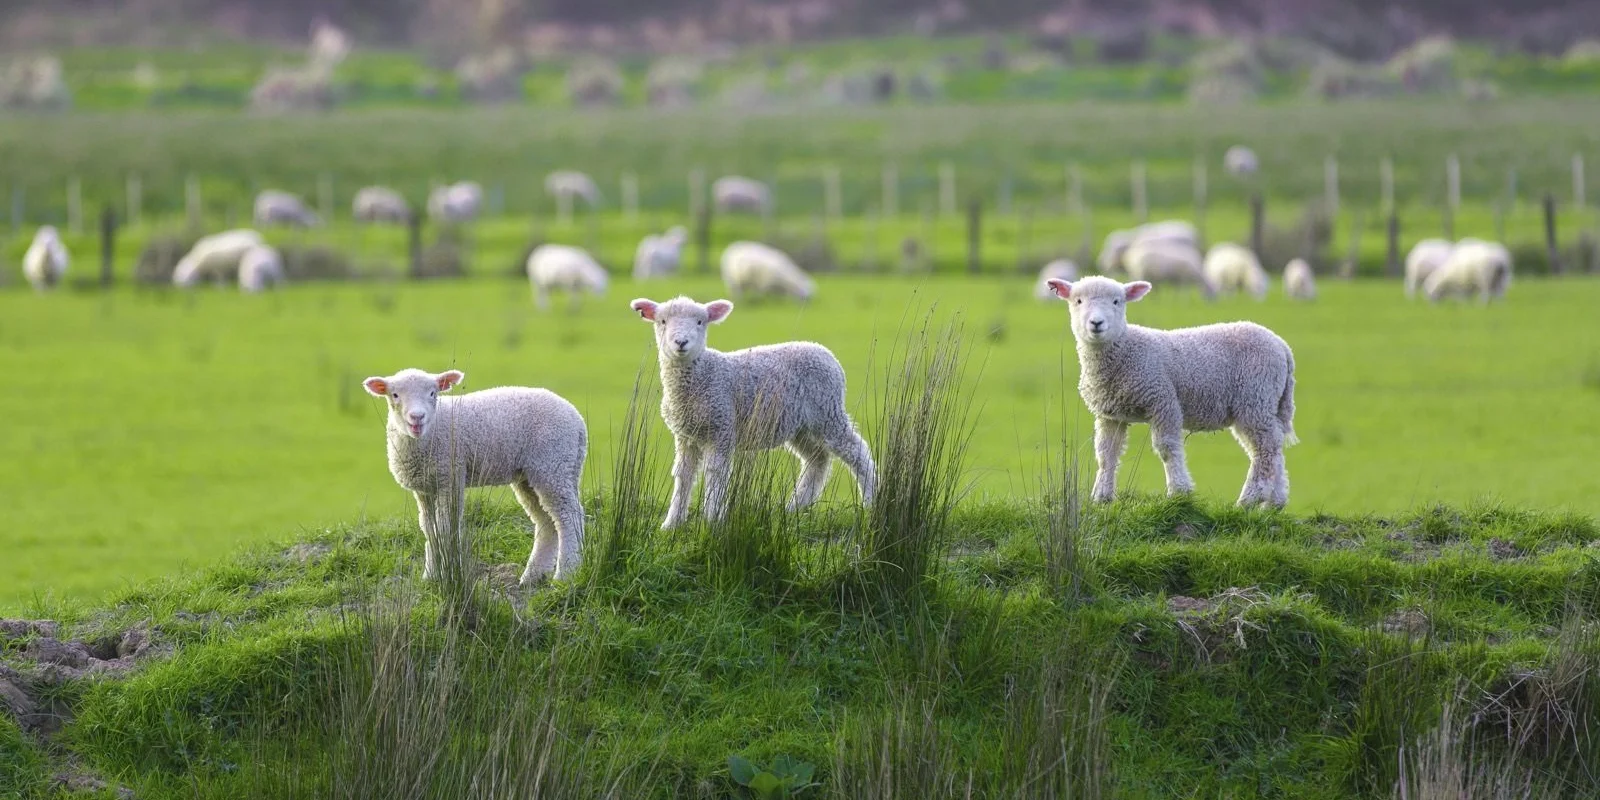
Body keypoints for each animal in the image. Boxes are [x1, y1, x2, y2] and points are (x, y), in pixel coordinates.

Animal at [362, 368, 587, 586]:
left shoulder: (450, 477)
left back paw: (565, 574)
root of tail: (577, 419)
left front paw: (450, 573)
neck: (430, 433)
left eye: (433, 393)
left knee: (568, 517)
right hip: (535, 474)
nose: (417, 417)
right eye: (395, 395)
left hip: (553, 463)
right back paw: (532, 576)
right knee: (546, 522)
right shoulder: (424, 489)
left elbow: (445, 527)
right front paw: (431, 576)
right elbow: (429, 529)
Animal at [627, 296, 876, 527]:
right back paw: (794, 507)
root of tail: (823, 351)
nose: (681, 342)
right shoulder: (686, 436)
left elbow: (715, 473)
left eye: (700, 322)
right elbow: (683, 475)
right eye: (662, 321)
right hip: (800, 426)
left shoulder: (721, 428)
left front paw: (712, 519)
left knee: (856, 451)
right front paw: (672, 523)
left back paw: (871, 500)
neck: (703, 375)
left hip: (827, 412)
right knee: (817, 460)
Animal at [1044, 275, 1297, 508]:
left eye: (1117, 301)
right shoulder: (1110, 415)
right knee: (1274, 448)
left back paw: (1250, 499)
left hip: (1255, 397)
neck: (1125, 349)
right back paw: (1274, 502)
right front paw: (1101, 497)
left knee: (1265, 449)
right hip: (1262, 404)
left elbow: (1167, 449)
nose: (1096, 323)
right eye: (1078, 301)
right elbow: (1107, 454)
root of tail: (1282, 346)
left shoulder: (1163, 400)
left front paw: (1179, 492)